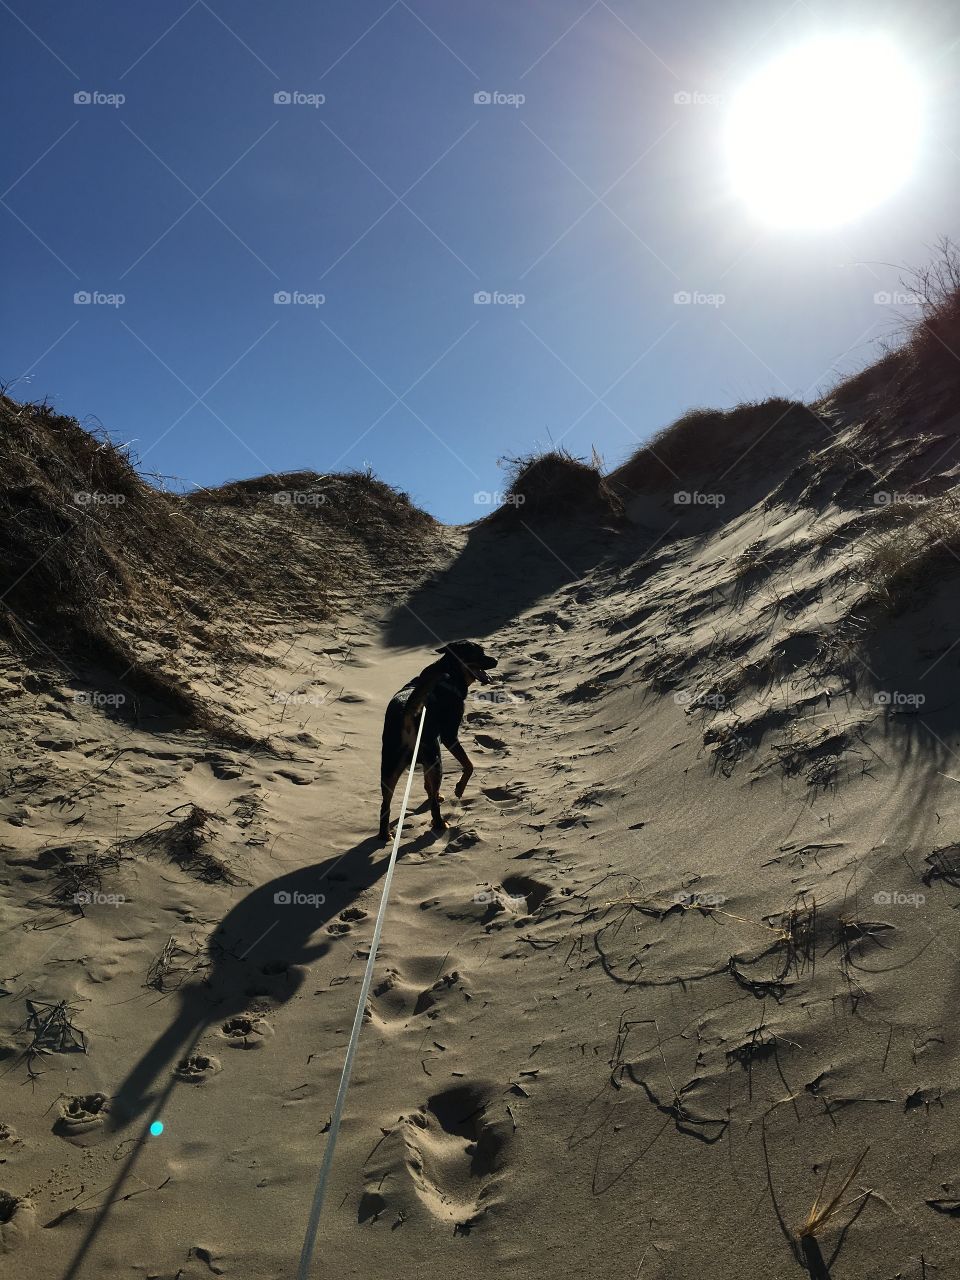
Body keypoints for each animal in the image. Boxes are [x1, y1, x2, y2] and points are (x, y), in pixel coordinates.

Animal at [378, 640, 499, 839]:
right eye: (478, 654)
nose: (496, 660)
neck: (450, 674)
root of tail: (408, 714)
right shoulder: (449, 737)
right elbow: (469, 765)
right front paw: (459, 788)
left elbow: (428, 785)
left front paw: (436, 794)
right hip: (435, 758)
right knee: (434, 805)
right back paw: (440, 823)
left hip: (390, 765)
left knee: (385, 803)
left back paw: (384, 834)